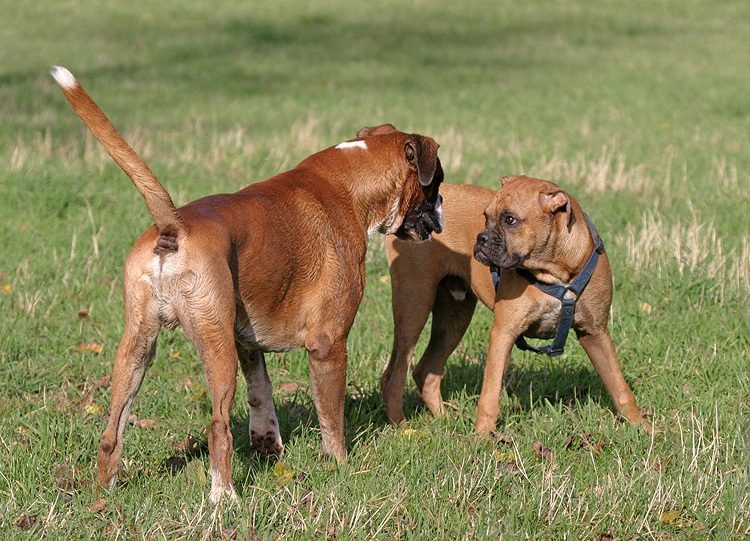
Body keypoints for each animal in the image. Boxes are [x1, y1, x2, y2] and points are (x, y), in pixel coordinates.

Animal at [51, 66, 444, 502]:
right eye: (436, 183)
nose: (443, 210)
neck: (348, 184)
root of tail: (175, 227)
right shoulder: (327, 344)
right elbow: (331, 417)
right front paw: (339, 465)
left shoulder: (247, 340)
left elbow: (261, 392)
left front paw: (267, 444)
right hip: (215, 348)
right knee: (218, 428)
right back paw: (224, 499)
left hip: (136, 349)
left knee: (112, 430)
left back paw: (105, 492)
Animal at [383, 178, 649, 434]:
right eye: (485, 217)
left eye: (510, 219)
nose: (481, 238)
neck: (556, 272)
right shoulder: (504, 333)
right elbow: (490, 396)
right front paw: (483, 437)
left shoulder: (595, 333)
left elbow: (620, 387)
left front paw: (642, 428)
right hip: (414, 304)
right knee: (393, 375)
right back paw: (402, 428)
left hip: (454, 316)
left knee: (425, 371)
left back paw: (445, 419)